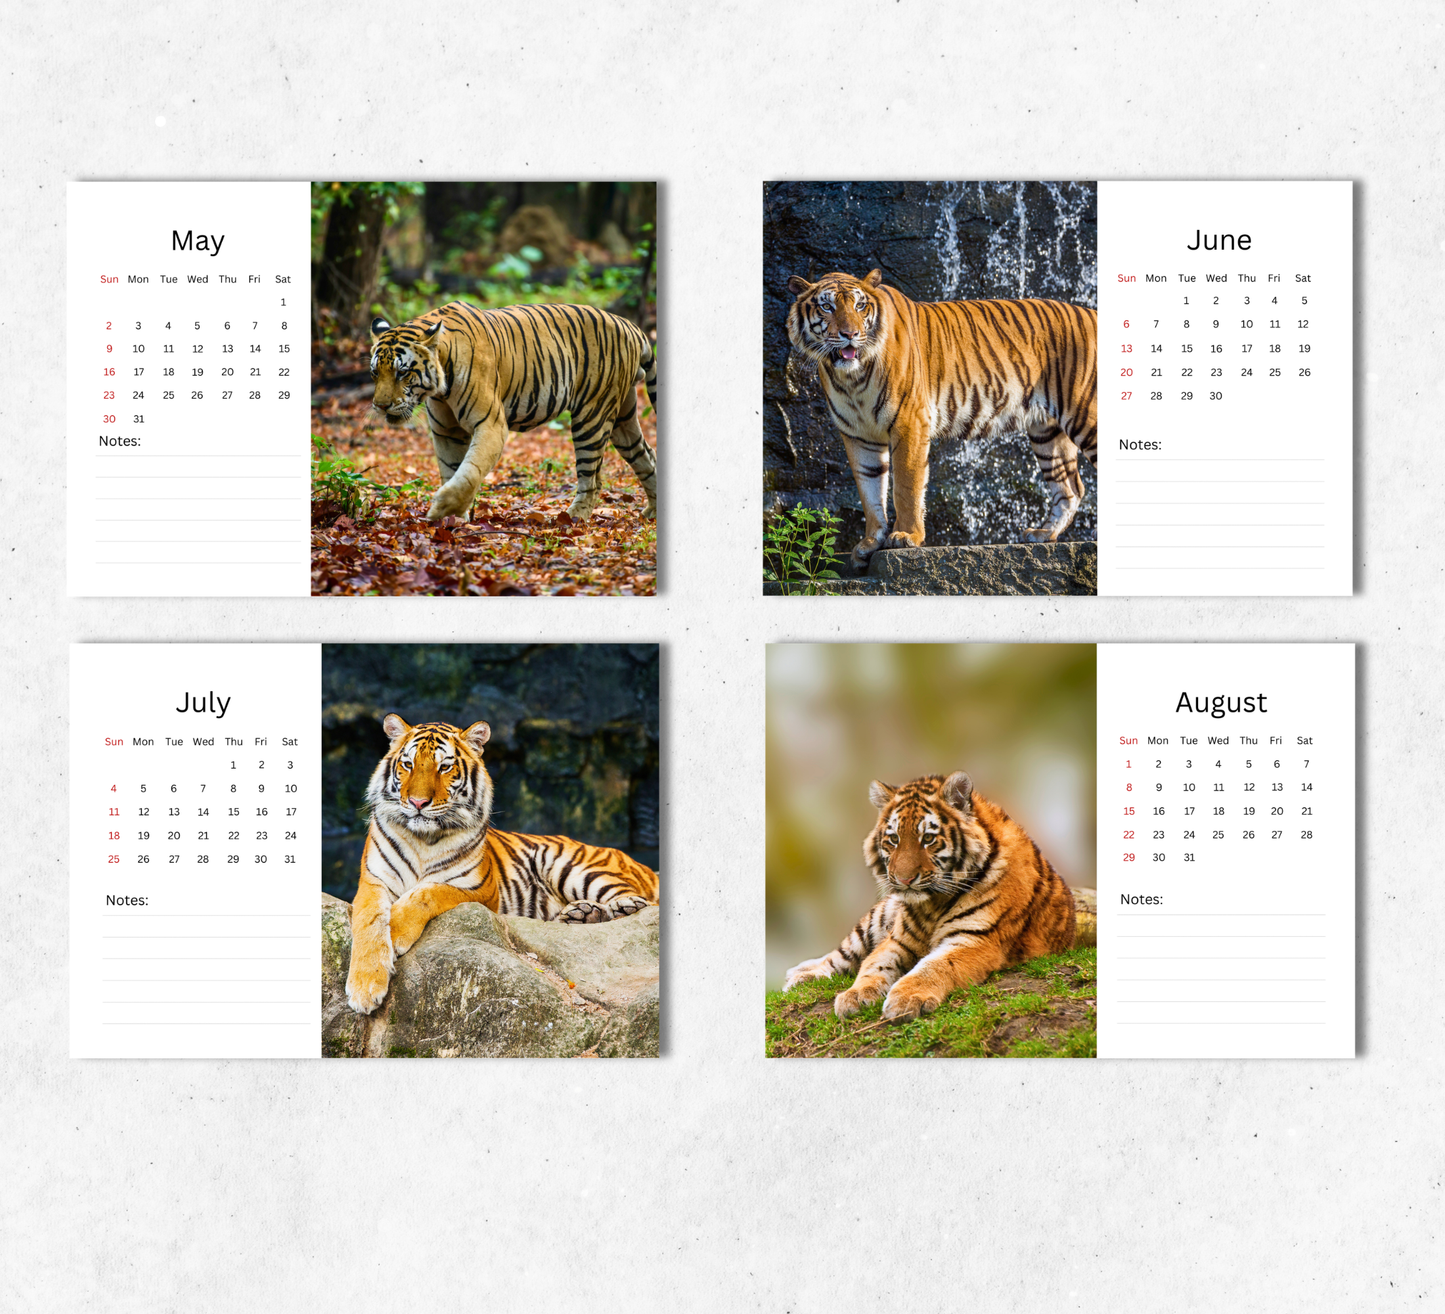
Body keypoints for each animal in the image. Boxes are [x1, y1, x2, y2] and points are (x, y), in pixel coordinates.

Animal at [345, 714, 659, 1015]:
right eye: (408, 764)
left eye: (444, 767)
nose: (418, 802)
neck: (424, 839)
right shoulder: (373, 881)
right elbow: (369, 924)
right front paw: (365, 988)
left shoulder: (479, 890)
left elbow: (427, 893)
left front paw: (395, 930)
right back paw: (581, 914)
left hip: (573, 867)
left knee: (640, 902)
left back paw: (619, 907)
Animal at [368, 300, 658, 524]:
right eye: (375, 373)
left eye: (402, 372)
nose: (380, 405)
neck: (440, 388)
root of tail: (629, 325)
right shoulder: (446, 432)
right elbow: (452, 470)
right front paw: (454, 518)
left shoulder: (491, 424)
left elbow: (469, 472)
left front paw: (441, 509)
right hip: (622, 418)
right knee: (647, 457)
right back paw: (653, 512)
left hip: (592, 416)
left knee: (592, 478)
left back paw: (573, 518)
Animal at [782, 771, 1076, 1022]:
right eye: (893, 839)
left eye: (928, 838)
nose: (903, 879)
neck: (932, 904)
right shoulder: (897, 940)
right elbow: (872, 965)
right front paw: (855, 995)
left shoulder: (976, 939)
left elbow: (933, 967)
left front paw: (906, 999)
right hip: (874, 920)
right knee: (840, 956)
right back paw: (800, 975)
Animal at [784, 269, 1097, 567]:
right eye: (827, 307)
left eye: (860, 306)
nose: (850, 334)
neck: (851, 378)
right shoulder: (858, 435)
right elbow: (869, 490)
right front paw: (870, 542)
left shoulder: (909, 422)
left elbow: (906, 486)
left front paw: (906, 536)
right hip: (1047, 433)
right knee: (1070, 488)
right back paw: (1044, 534)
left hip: (1086, 418)